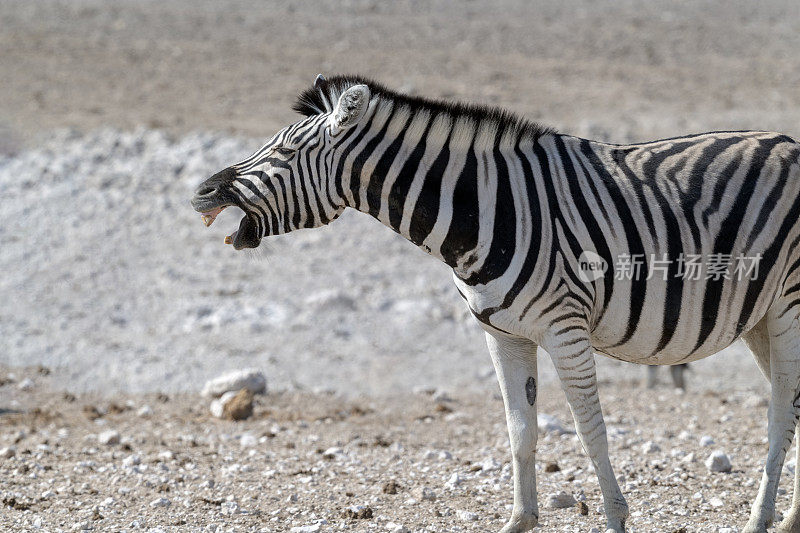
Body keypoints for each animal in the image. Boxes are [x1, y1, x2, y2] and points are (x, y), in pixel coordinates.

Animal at [192, 75, 800, 532]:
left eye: (286, 151)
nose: (202, 192)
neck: (485, 210)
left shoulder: (565, 328)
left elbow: (590, 429)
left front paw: (615, 518)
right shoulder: (502, 333)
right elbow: (520, 429)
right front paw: (519, 520)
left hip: (789, 305)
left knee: (780, 413)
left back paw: (761, 520)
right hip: (759, 317)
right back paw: (789, 517)